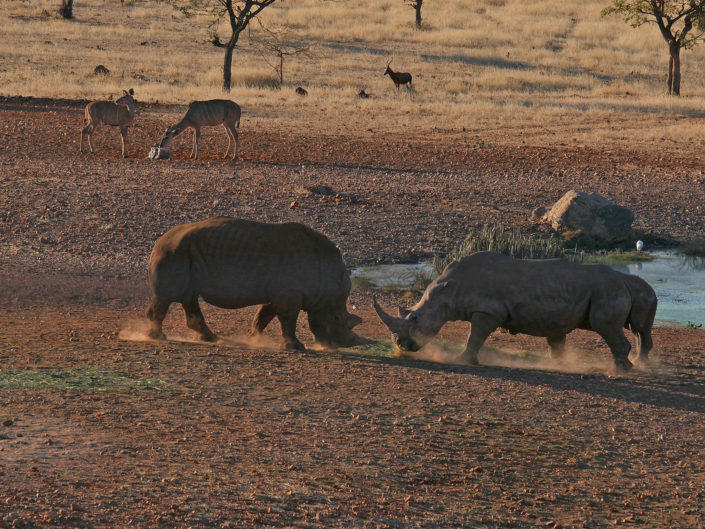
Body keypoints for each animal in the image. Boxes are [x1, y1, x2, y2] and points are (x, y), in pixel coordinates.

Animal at [146, 217, 369, 350]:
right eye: (337, 317)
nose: (339, 345)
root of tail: (158, 243)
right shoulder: (290, 292)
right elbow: (288, 319)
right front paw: (296, 347)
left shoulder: (281, 292)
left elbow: (264, 315)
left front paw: (253, 338)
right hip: (173, 253)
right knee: (168, 297)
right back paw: (158, 337)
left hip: (183, 253)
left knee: (188, 297)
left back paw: (211, 339)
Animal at [374, 252, 657, 372]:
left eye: (414, 318)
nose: (401, 345)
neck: (448, 290)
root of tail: (624, 280)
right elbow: (556, 341)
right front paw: (557, 364)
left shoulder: (488, 311)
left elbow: (475, 337)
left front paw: (463, 360)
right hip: (610, 289)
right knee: (638, 329)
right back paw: (635, 365)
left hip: (606, 290)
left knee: (606, 327)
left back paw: (621, 370)